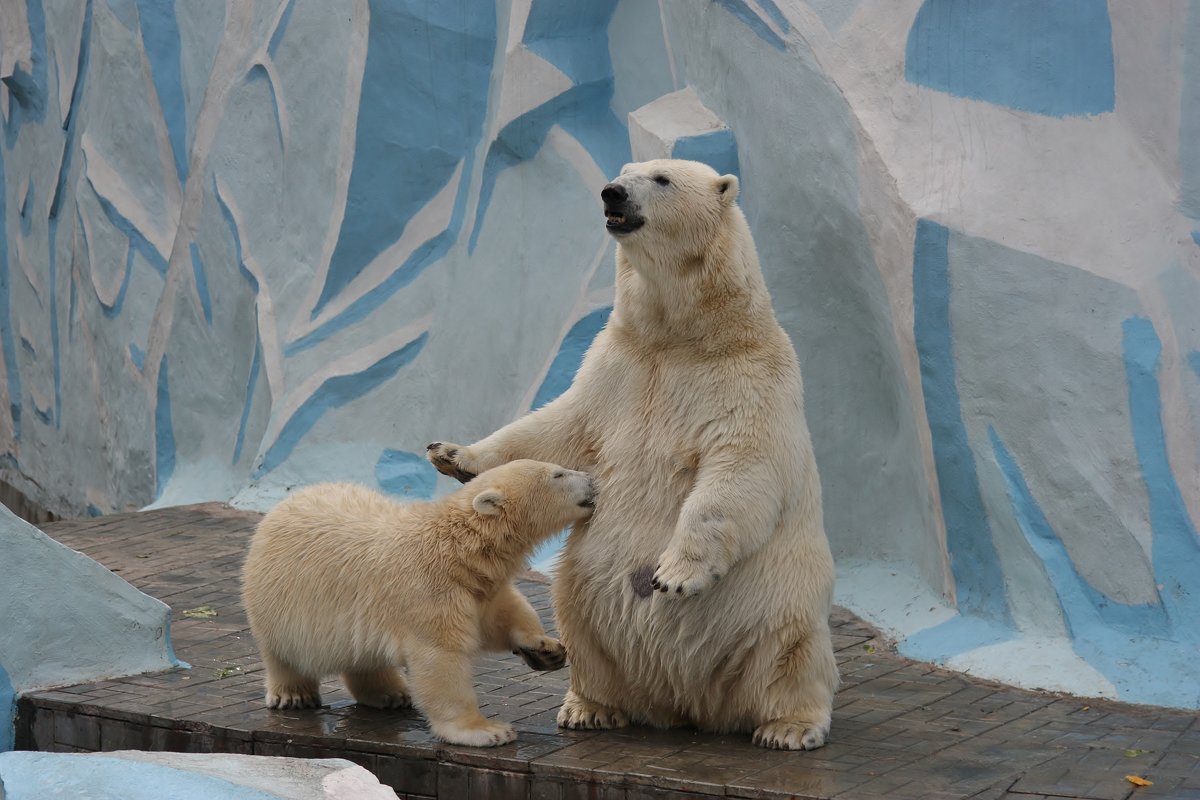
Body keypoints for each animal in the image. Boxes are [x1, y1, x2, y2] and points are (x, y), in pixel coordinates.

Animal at [429, 158, 835, 753]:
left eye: (662, 178)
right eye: (625, 169)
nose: (611, 192)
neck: (681, 336)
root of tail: (690, 705)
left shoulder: (750, 379)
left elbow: (739, 467)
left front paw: (676, 574)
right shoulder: (617, 364)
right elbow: (558, 427)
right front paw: (454, 454)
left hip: (780, 599)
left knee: (790, 653)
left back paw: (788, 727)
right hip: (587, 594)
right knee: (582, 629)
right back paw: (591, 706)